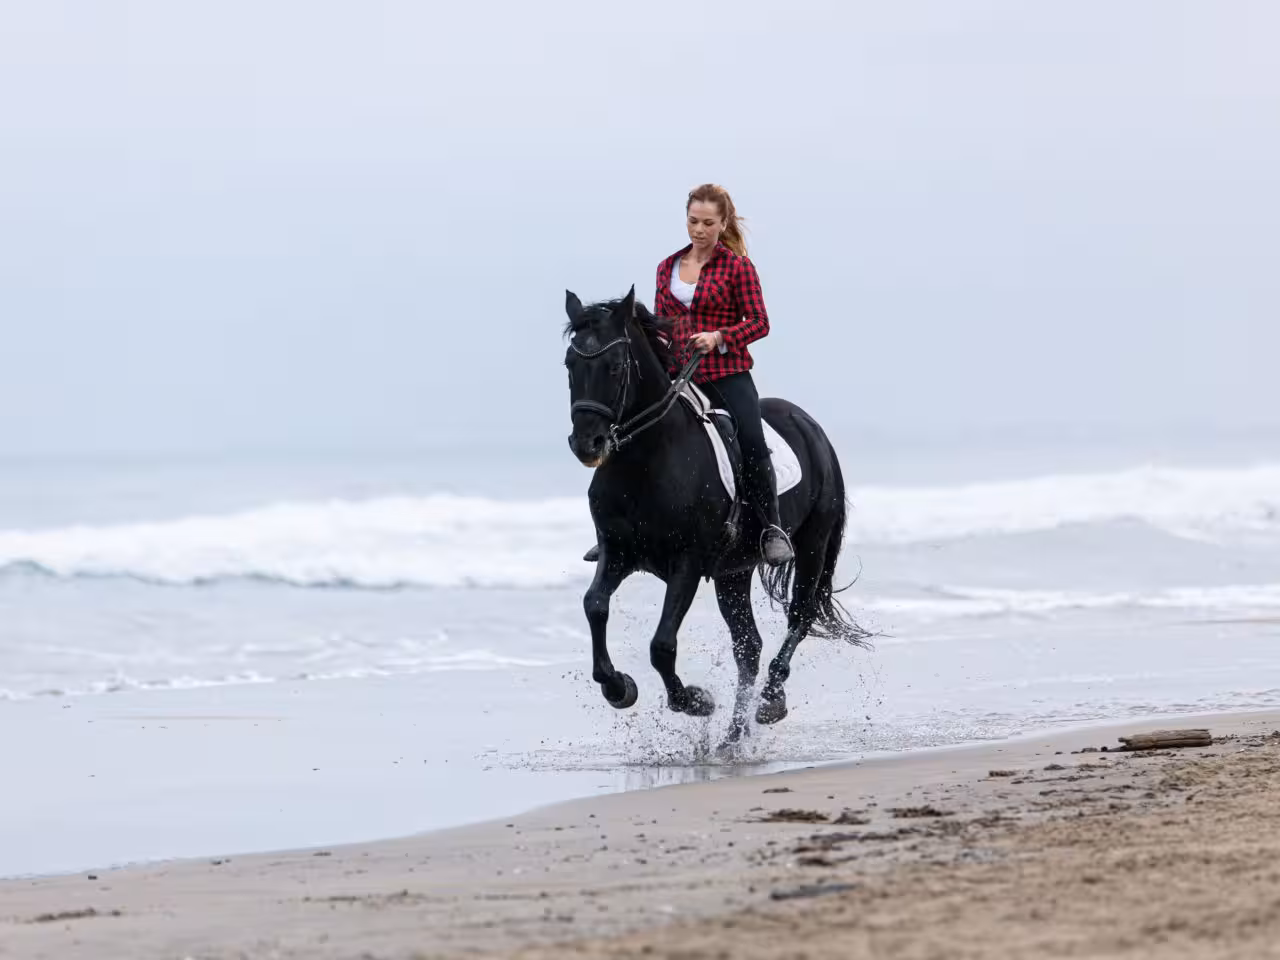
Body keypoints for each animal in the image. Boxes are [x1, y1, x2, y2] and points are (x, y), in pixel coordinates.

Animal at [563, 286, 870, 746]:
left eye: (615, 366)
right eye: (569, 364)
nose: (587, 444)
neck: (646, 460)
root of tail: (809, 425)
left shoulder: (687, 563)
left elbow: (662, 645)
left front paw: (695, 701)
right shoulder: (617, 552)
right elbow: (595, 604)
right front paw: (618, 687)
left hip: (812, 545)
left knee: (798, 617)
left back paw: (770, 702)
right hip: (733, 572)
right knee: (749, 647)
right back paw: (732, 738)